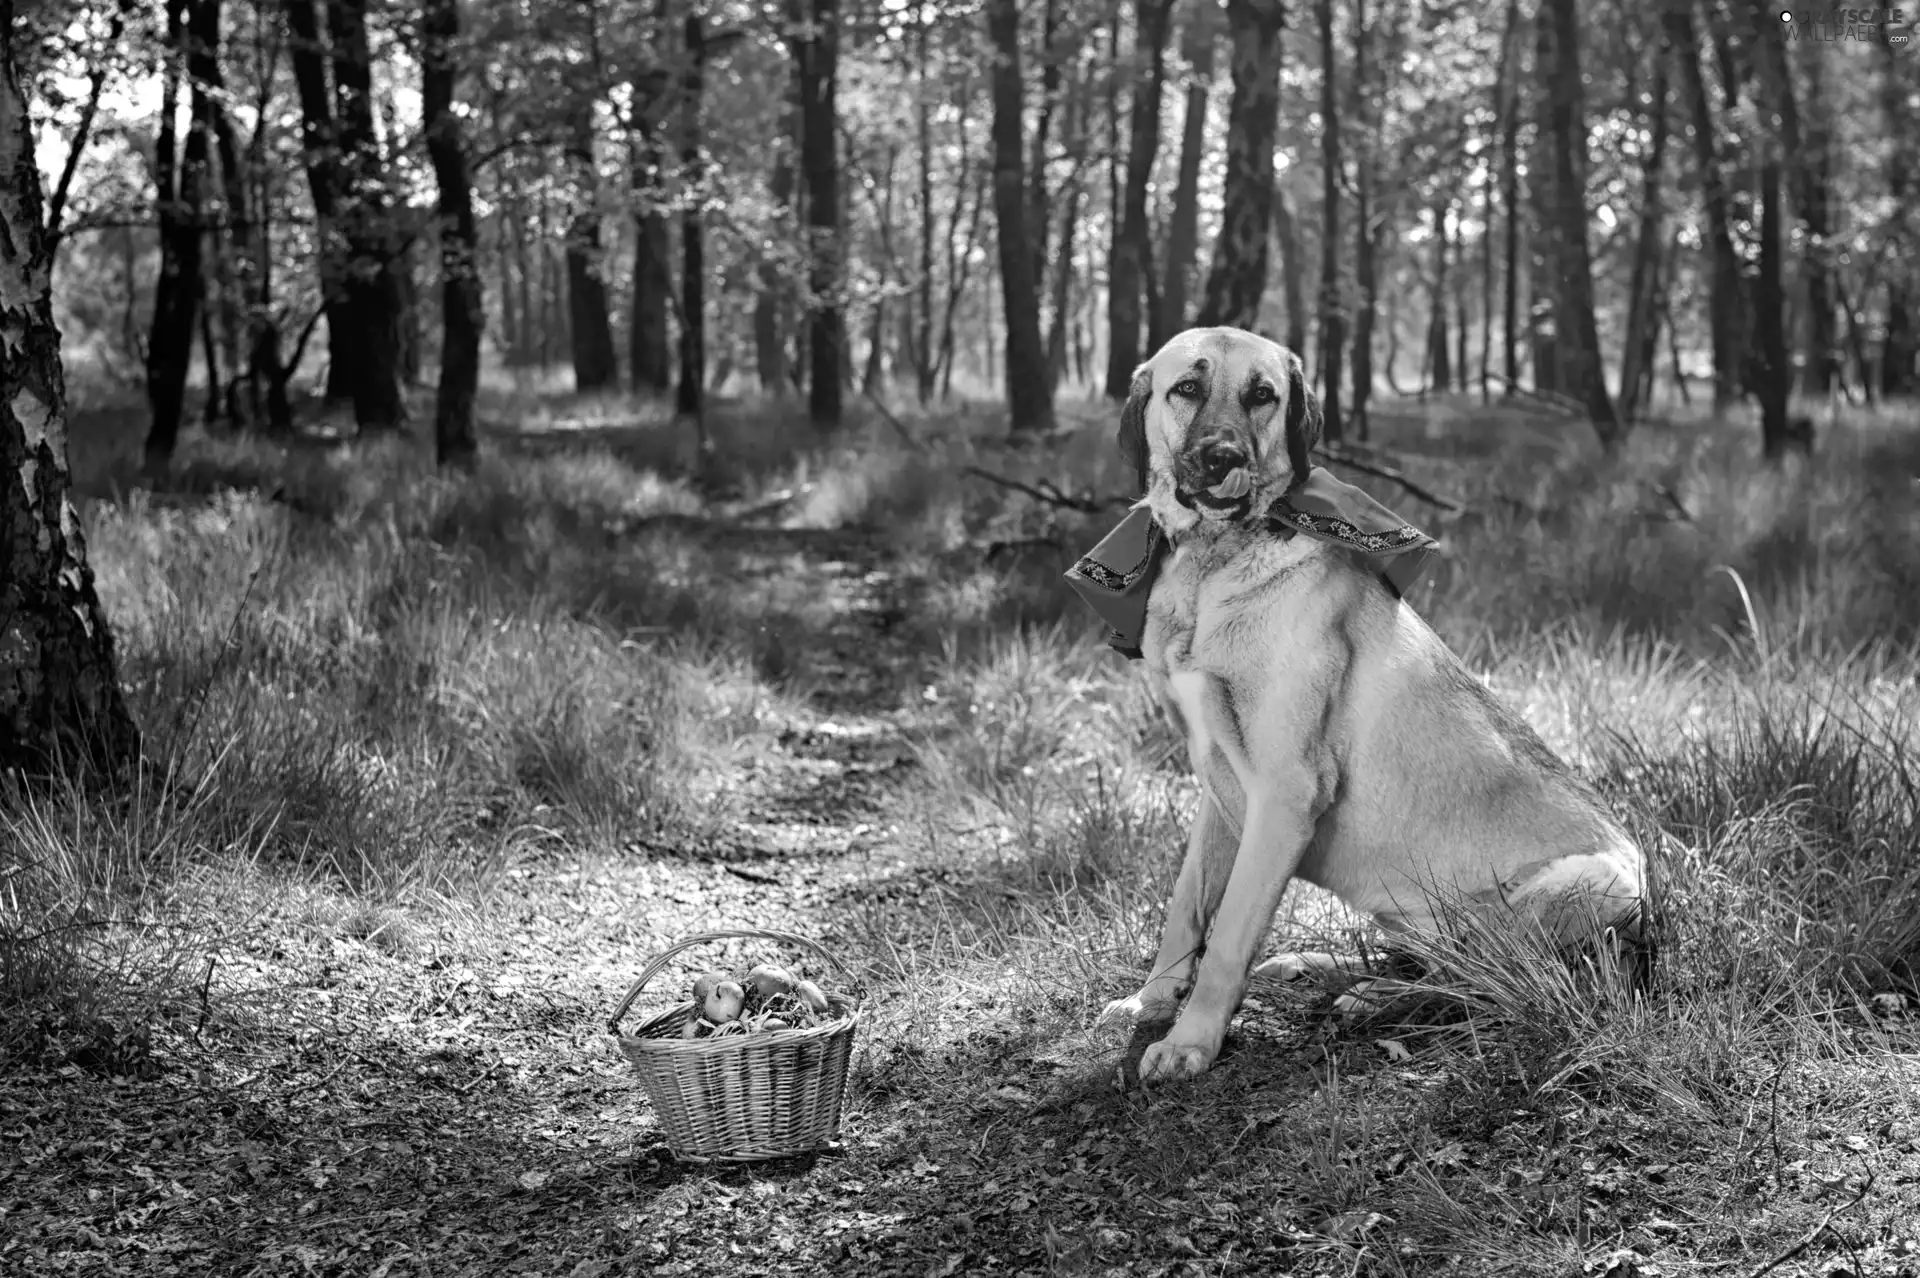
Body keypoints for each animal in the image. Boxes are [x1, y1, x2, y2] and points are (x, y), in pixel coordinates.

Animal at [1082, 326, 1651, 1074]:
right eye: (1187, 388)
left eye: (1262, 395)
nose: (1225, 458)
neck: (1213, 562)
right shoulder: (1218, 787)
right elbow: (1188, 908)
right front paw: (1152, 1000)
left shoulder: (1286, 791)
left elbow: (1229, 934)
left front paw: (1191, 1041)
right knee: (1428, 957)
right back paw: (1320, 967)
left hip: (1591, 884)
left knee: (1478, 979)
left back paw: (1373, 996)